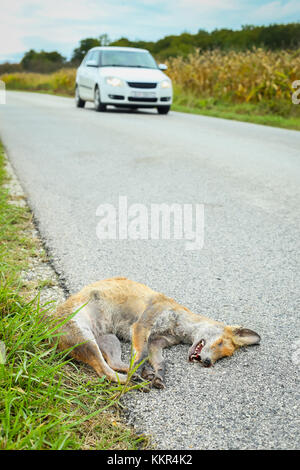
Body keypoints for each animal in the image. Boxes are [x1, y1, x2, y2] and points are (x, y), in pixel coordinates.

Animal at [55, 278, 262, 388]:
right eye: (219, 343)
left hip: (110, 340)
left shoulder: (156, 342)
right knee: (106, 372)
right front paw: (142, 371)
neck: (176, 326)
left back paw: (143, 374)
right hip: (87, 341)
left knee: (114, 363)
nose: (208, 362)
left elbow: (160, 363)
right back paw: (134, 380)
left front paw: (158, 376)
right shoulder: (141, 327)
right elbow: (142, 355)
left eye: (223, 356)